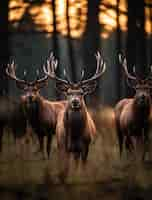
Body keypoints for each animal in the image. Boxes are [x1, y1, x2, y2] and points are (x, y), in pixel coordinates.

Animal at [43, 51, 106, 180]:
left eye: (81, 93)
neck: (75, 135)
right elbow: (65, 168)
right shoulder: (63, 146)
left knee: (77, 162)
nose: (75, 101)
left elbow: (83, 166)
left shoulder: (86, 145)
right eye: (68, 93)